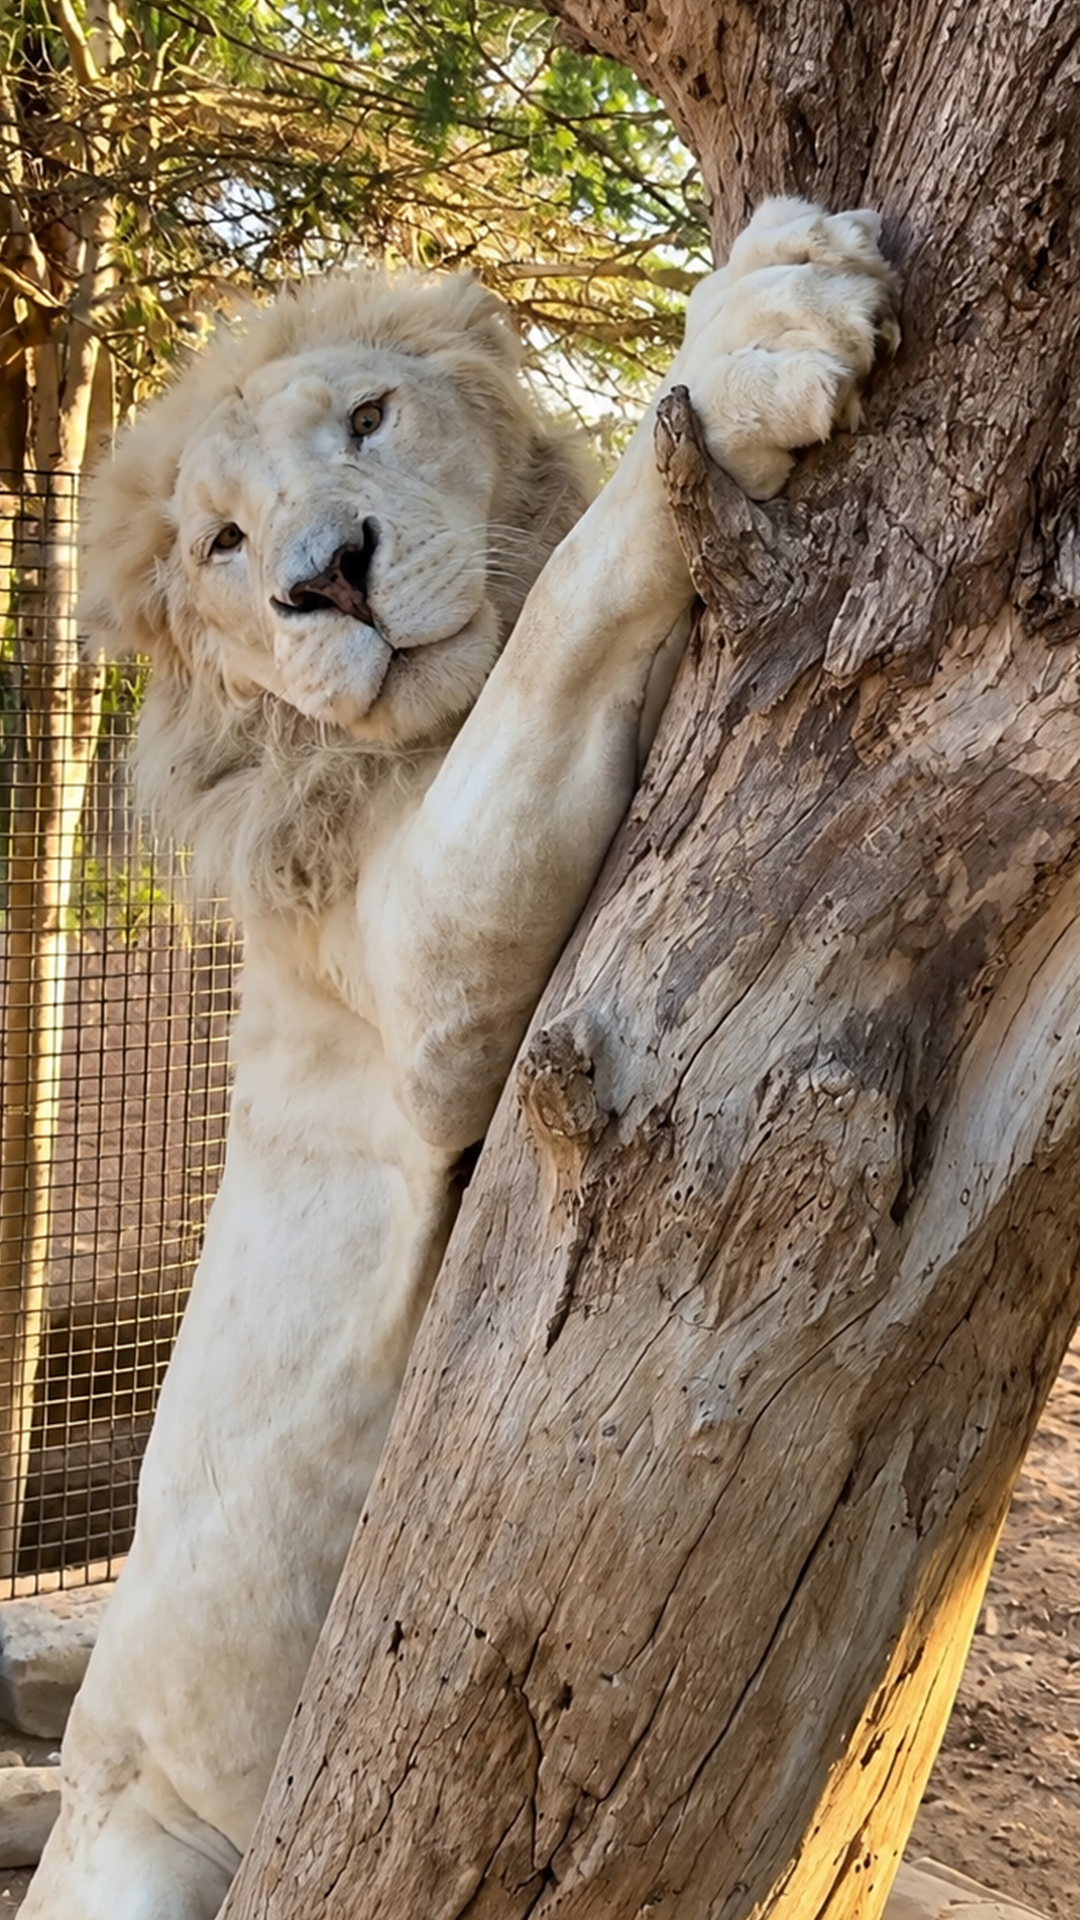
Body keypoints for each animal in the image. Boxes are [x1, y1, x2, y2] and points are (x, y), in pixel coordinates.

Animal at [23, 200, 896, 1919]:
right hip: (131, 1846)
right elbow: (564, 601)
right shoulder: (419, 989)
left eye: (371, 419)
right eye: (223, 545)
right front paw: (764, 321)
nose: (326, 581)